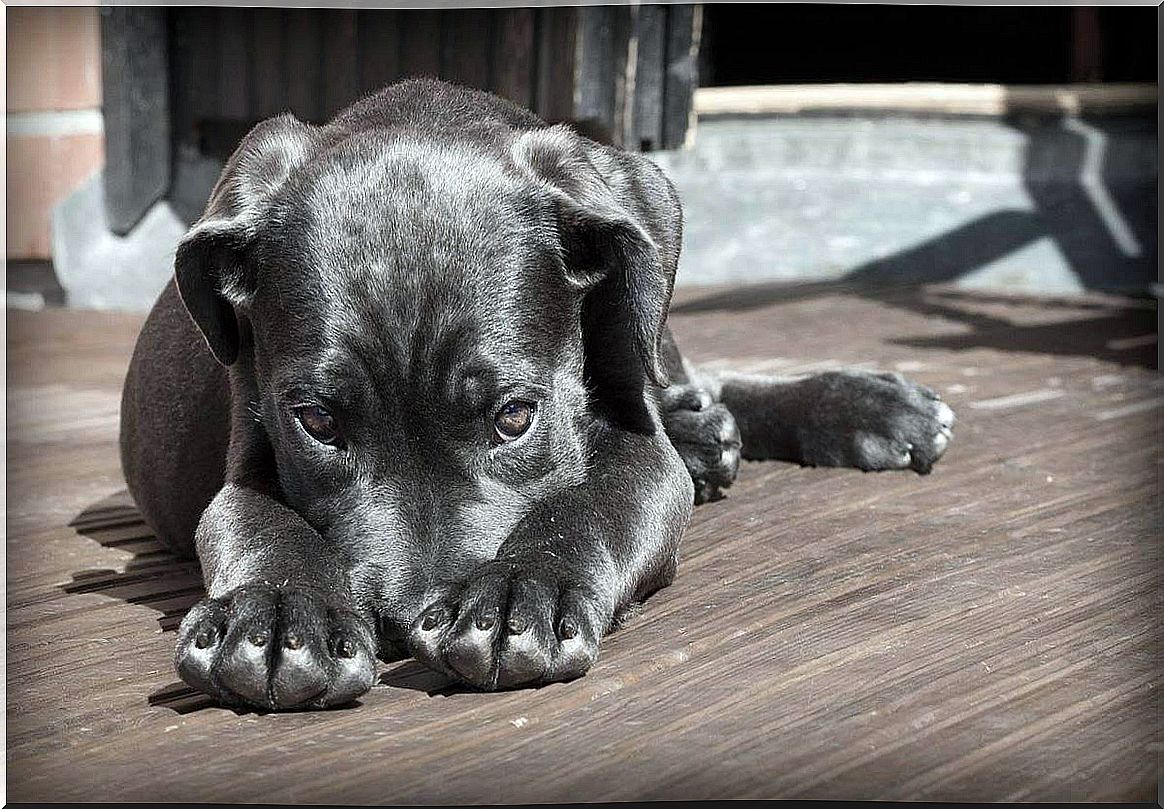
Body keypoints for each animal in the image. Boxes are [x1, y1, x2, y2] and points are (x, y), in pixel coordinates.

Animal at [120, 75, 954, 707]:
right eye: (317, 421)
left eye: (515, 416)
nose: (404, 622)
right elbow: (256, 521)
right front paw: (277, 613)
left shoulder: (635, 442)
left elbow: (599, 501)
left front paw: (522, 592)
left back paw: (857, 407)